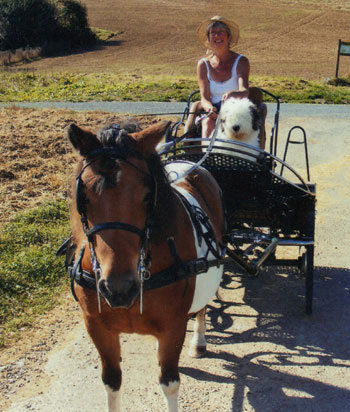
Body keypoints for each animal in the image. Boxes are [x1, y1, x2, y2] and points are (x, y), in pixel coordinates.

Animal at [66, 120, 224, 410]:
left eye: (147, 195)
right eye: (84, 196)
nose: (119, 288)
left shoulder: (173, 327)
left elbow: (169, 383)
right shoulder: (97, 327)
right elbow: (112, 382)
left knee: (202, 307)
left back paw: (198, 339)